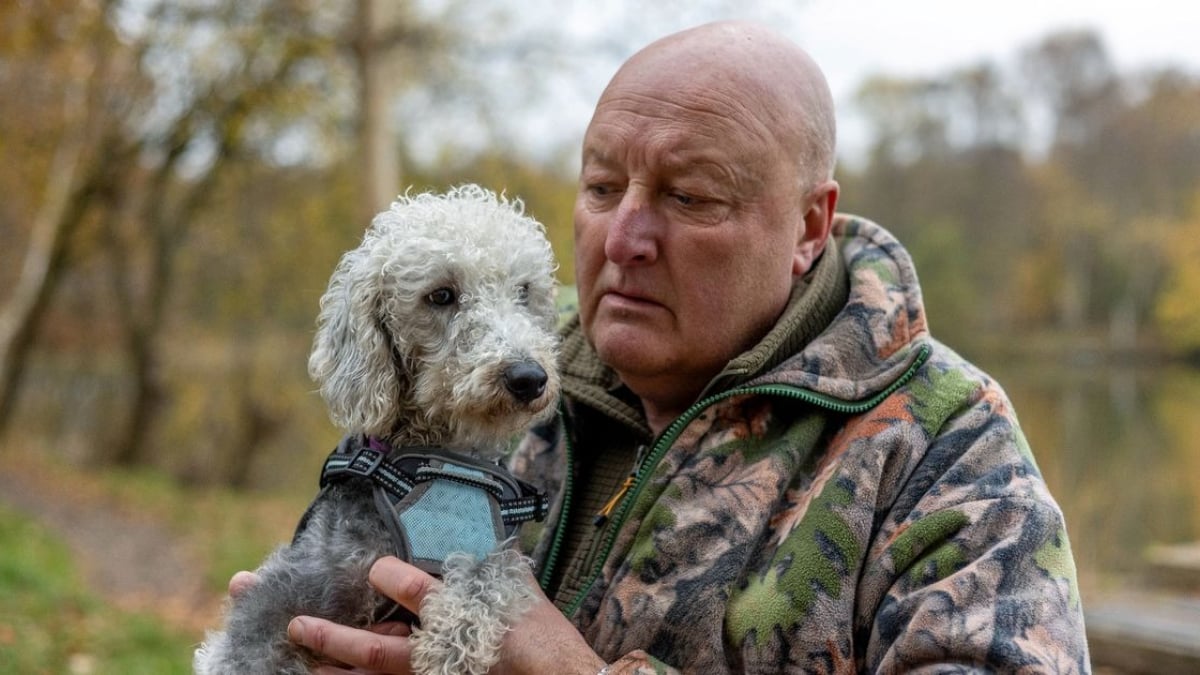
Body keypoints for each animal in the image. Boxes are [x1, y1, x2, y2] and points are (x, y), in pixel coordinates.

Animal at [195, 183, 561, 672]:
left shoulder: (497, 547)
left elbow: (489, 574)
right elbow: (245, 649)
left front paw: (452, 642)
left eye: (524, 291)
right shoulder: (287, 590)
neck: (447, 465)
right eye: (441, 295)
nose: (528, 377)